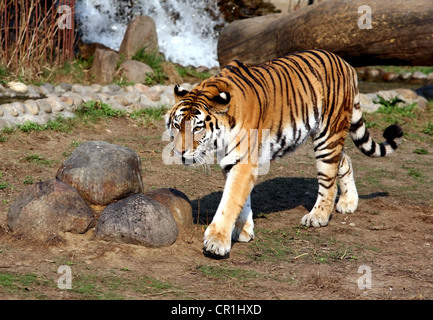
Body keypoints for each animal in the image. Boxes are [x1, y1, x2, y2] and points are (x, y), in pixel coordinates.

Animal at [165, 49, 402, 258]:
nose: (179, 152)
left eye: (197, 128)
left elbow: (230, 202)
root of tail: (347, 64)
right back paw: (349, 202)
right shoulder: (233, 162)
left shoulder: (242, 160)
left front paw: (216, 241)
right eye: (177, 125)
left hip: (328, 135)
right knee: (345, 160)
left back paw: (318, 216)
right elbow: (242, 200)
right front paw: (244, 230)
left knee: (329, 181)